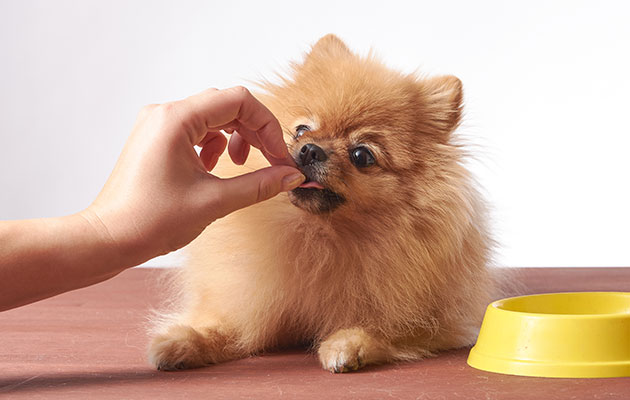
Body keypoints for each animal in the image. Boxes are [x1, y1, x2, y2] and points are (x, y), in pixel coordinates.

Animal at [149, 33, 498, 372]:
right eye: (302, 130)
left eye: (362, 155)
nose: (311, 149)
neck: (318, 234)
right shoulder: (255, 301)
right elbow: (229, 326)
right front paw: (184, 341)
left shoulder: (437, 321)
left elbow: (385, 326)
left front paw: (348, 345)